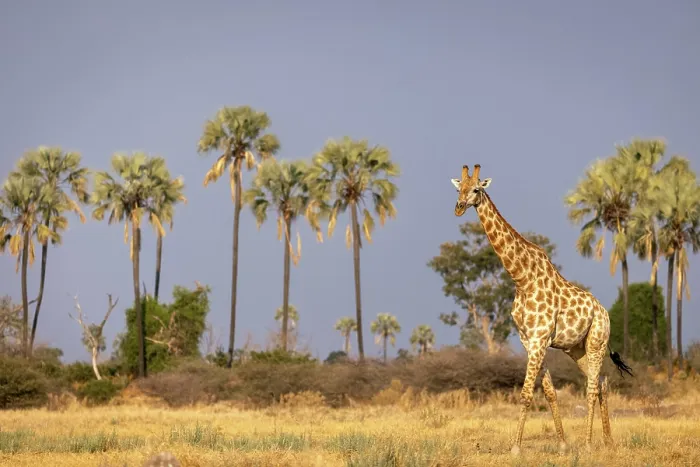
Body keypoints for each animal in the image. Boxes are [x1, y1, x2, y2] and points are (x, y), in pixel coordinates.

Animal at [450, 164, 633, 455]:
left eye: (476, 189)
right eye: (459, 189)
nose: (458, 207)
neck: (521, 278)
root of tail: (604, 312)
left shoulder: (539, 339)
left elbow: (526, 394)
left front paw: (515, 448)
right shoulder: (530, 341)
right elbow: (549, 392)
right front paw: (562, 444)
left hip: (597, 341)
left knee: (592, 387)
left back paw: (589, 444)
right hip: (577, 349)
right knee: (602, 382)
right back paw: (608, 441)